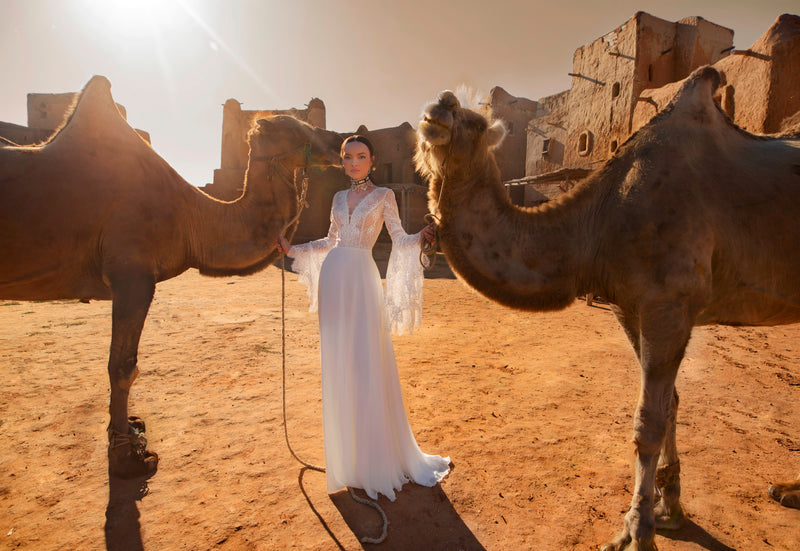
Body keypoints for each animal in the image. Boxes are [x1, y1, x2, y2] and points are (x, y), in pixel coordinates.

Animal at [0, 75, 344, 480]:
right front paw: (127, 457)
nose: (340, 143)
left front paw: (133, 432)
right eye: (294, 127)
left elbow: (123, 366)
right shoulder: (132, 275)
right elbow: (123, 367)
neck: (190, 215)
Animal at [416, 66, 800, 551]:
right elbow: (672, 403)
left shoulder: (669, 303)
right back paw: (787, 491)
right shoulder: (628, 307)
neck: (597, 223)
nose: (442, 103)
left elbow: (648, 422)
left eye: (476, 122)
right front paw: (670, 511)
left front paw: (637, 532)